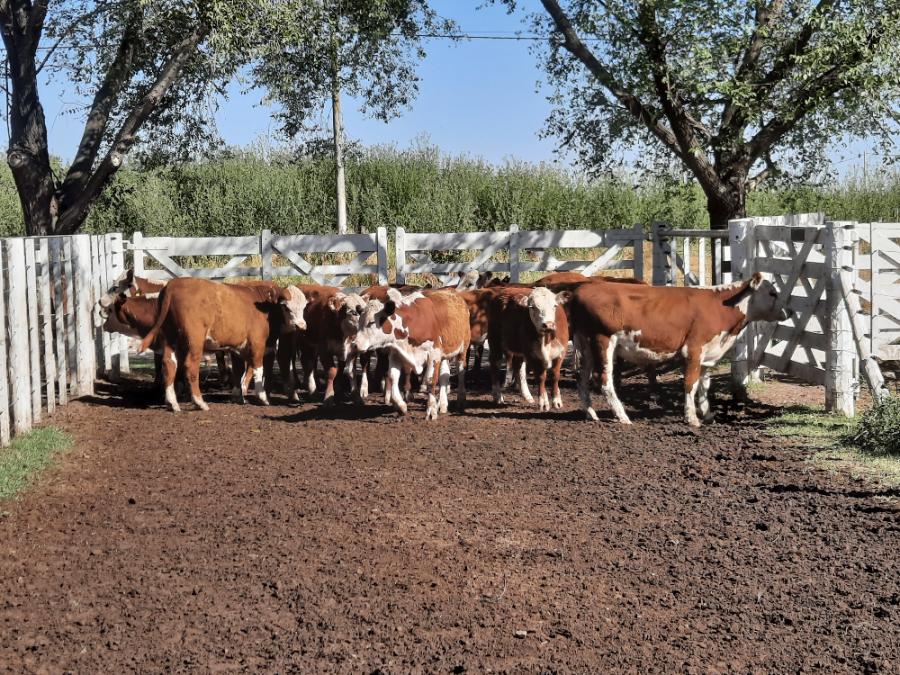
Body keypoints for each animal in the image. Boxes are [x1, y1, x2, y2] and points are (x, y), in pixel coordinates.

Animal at [138, 278, 308, 412]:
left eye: (304, 307)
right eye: (286, 306)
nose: (301, 326)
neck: (267, 307)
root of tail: (172, 285)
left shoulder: (238, 347)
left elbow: (238, 371)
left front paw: (238, 396)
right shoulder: (258, 343)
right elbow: (258, 369)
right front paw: (263, 398)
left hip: (171, 337)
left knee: (169, 364)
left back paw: (172, 403)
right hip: (194, 340)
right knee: (190, 366)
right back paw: (199, 402)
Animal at [353, 288, 470, 419]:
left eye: (372, 322)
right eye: (359, 322)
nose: (355, 344)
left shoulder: (434, 355)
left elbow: (430, 381)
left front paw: (431, 410)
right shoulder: (396, 354)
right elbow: (393, 377)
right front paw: (401, 406)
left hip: (463, 349)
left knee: (461, 372)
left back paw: (460, 398)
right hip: (445, 354)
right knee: (444, 376)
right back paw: (443, 404)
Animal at [568, 272, 791, 427]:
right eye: (772, 292)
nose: (788, 312)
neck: (721, 307)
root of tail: (581, 290)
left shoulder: (707, 355)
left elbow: (704, 385)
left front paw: (707, 414)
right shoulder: (693, 350)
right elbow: (690, 384)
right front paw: (692, 418)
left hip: (585, 345)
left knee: (582, 378)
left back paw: (591, 413)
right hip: (602, 341)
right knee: (604, 380)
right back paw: (622, 416)